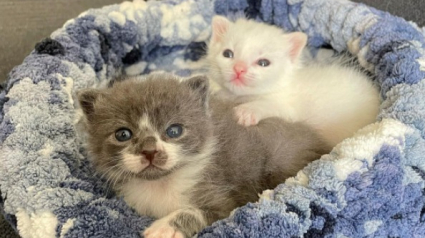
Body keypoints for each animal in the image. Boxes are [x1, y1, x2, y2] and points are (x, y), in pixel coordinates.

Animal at [78, 72, 330, 238]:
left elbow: (209, 212)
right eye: (122, 134)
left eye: (174, 131)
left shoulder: (227, 200)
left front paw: (166, 227)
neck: (162, 184)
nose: (150, 151)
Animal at [207, 15, 380, 146]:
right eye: (227, 54)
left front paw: (246, 112)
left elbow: (272, 106)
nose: (239, 69)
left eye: (263, 63)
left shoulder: (290, 110)